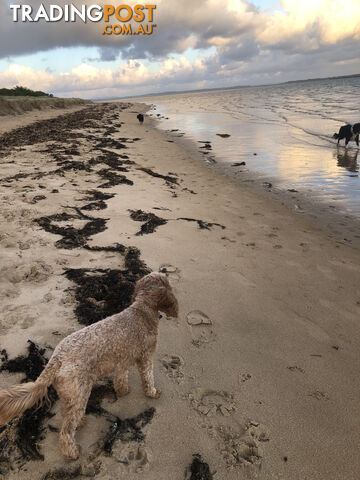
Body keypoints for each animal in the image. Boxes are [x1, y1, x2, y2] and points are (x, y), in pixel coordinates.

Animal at [0, 272, 179, 460]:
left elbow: (121, 378)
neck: (142, 310)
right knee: (66, 430)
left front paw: (123, 390)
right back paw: (72, 452)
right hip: (80, 393)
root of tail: (57, 358)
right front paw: (152, 392)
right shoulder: (146, 358)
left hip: (70, 394)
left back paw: (80, 423)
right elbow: (148, 378)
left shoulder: (122, 360)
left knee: (66, 413)